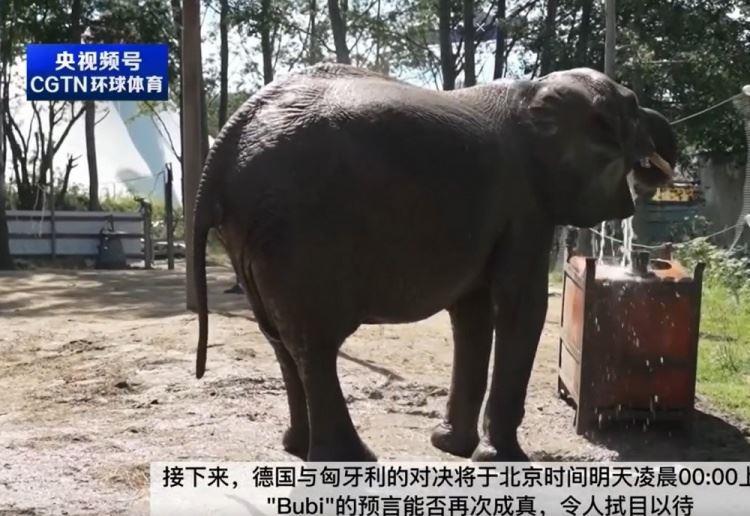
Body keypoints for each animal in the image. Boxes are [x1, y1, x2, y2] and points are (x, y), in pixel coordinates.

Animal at [191, 63, 676, 462]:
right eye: (632, 107)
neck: (535, 89)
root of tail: (228, 141)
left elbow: (473, 313)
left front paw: (450, 447)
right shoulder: (526, 203)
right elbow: (521, 306)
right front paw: (502, 460)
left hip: (253, 235)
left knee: (281, 339)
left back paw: (298, 448)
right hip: (297, 230)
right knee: (314, 342)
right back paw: (350, 460)